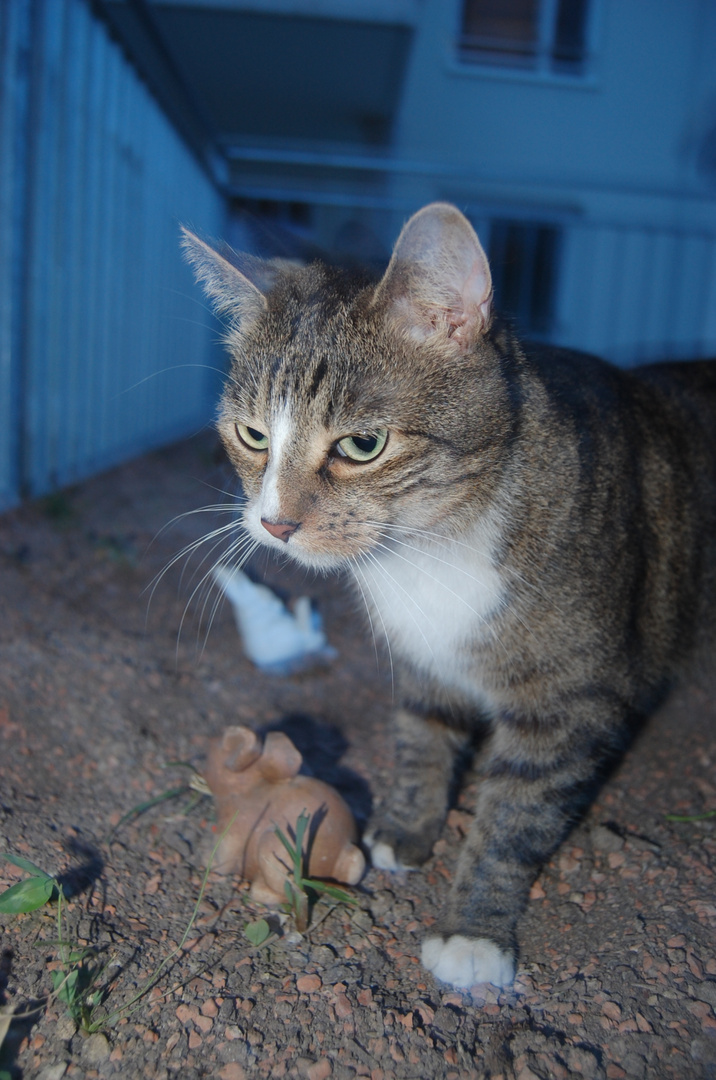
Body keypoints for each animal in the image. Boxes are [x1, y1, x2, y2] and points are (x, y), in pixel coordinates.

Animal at [182, 203, 716, 989]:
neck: (434, 545)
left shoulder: (568, 700)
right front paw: (405, 830)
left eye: (362, 445)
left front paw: (473, 932)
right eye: (252, 436)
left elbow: (517, 812)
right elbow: (423, 737)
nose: (274, 523)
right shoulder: (420, 657)